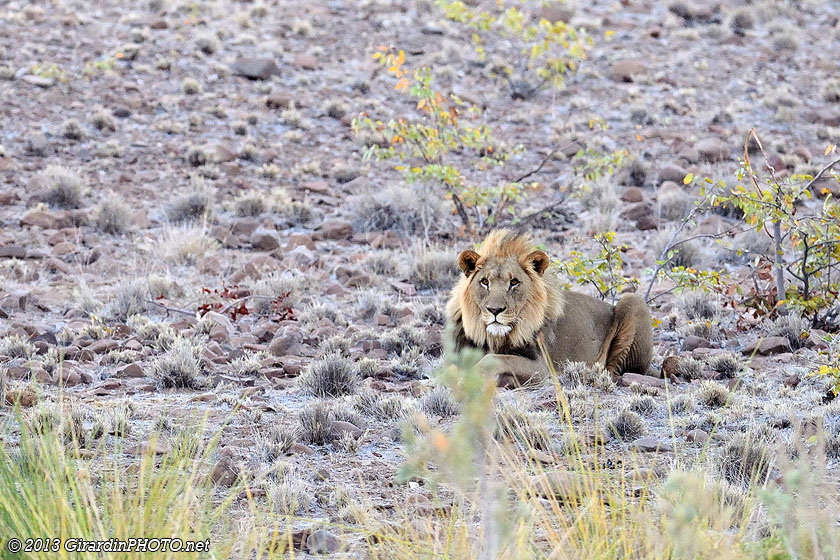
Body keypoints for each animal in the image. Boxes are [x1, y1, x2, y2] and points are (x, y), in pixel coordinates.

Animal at [445, 229, 653, 386]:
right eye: (484, 282)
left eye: (514, 282)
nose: (495, 310)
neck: (493, 338)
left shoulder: (540, 367)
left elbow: (493, 359)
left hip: (633, 300)